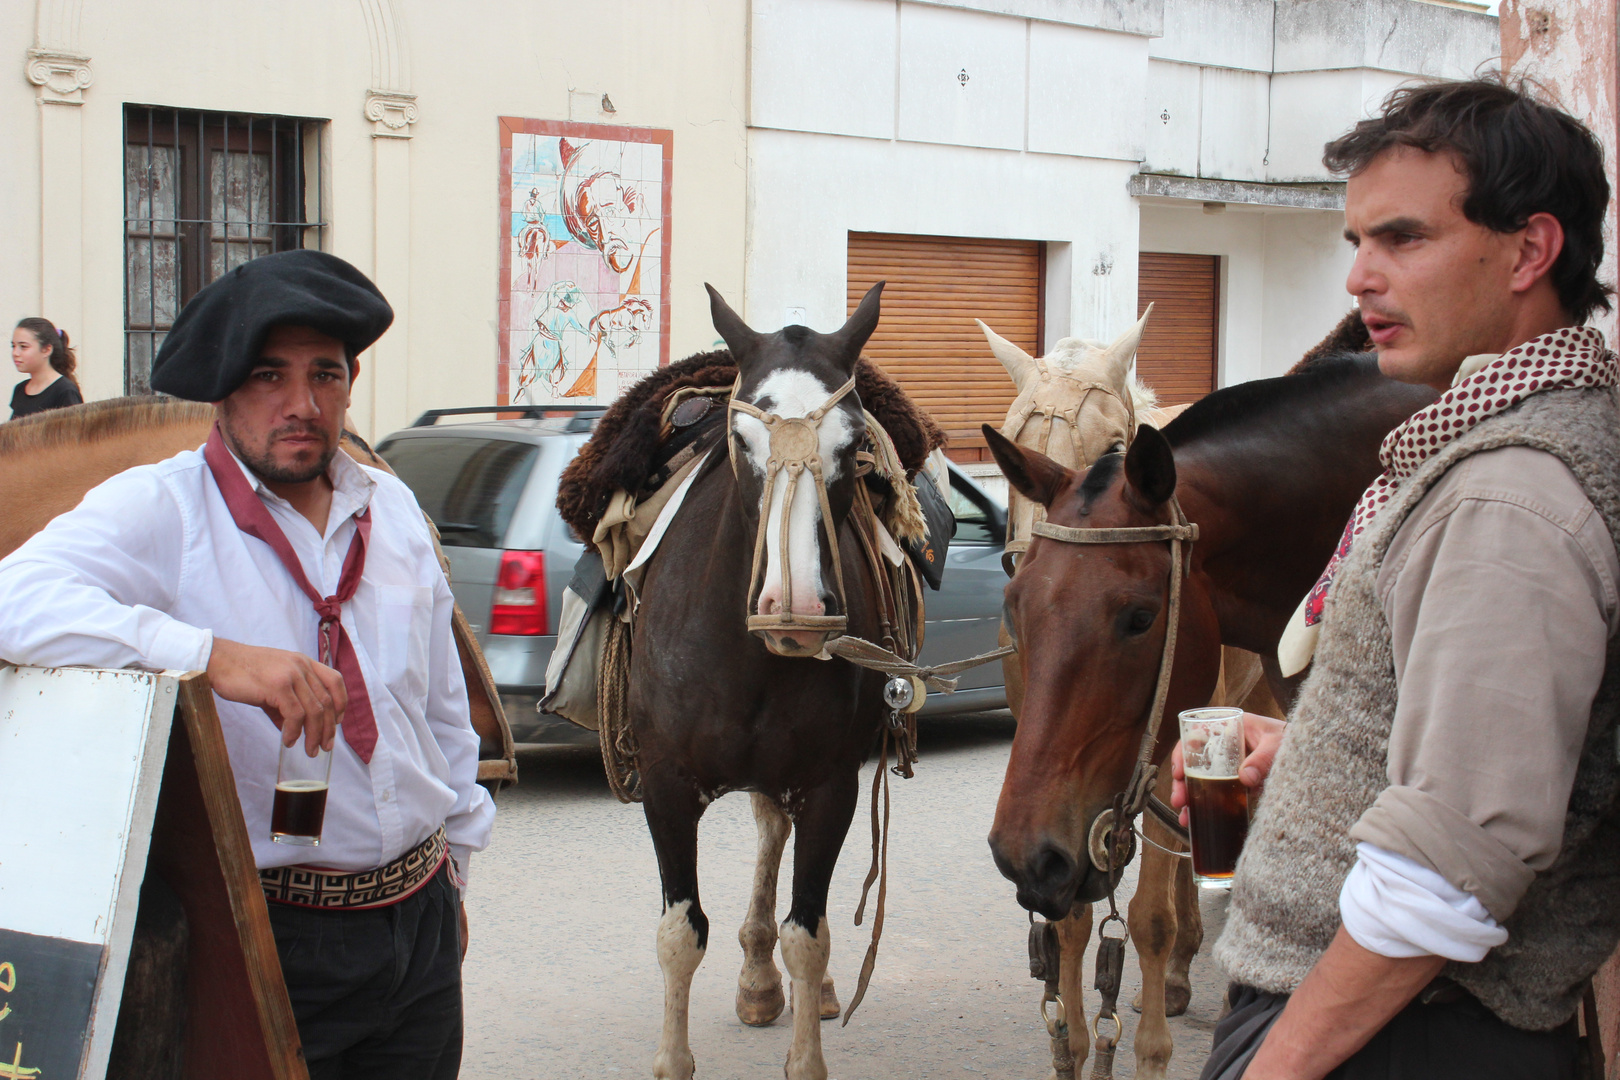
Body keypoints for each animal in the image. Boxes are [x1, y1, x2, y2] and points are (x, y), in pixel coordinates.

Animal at [984, 352, 1432, 1075]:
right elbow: (1074, 927)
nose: (1024, 854)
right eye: (1016, 606)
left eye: (1140, 617)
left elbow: (1152, 919)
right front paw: (1075, 1043)